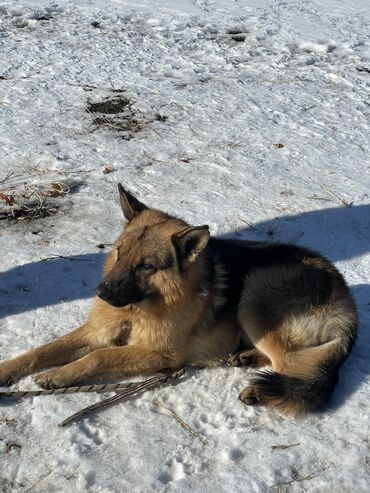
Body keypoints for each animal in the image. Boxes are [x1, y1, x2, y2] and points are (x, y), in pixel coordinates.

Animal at [0, 184, 358, 416]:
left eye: (146, 266)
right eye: (119, 253)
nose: (102, 293)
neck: (138, 310)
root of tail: (347, 302)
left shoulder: (160, 354)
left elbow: (99, 356)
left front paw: (59, 375)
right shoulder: (96, 331)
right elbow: (43, 350)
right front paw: (8, 368)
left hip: (255, 293)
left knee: (292, 366)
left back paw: (258, 388)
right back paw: (245, 357)